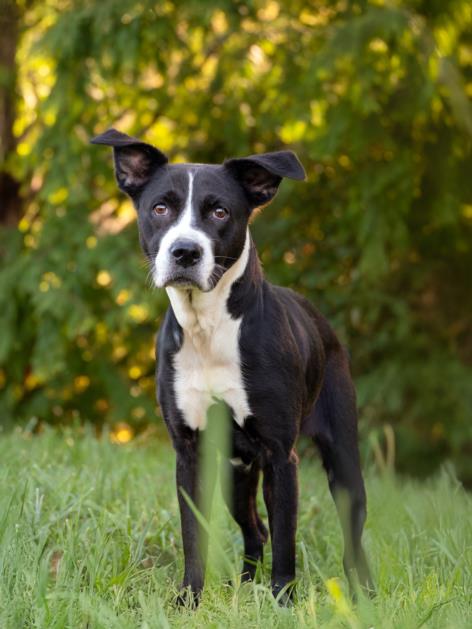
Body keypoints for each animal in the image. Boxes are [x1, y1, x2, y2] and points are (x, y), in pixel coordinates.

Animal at [91, 127, 372, 604]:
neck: (209, 327)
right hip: (235, 473)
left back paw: (363, 593)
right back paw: (243, 584)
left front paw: (283, 602)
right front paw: (189, 599)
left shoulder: (280, 455)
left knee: (350, 530)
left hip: (342, 455)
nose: (185, 251)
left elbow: (286, 538)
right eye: (160, 208)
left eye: (219, 211)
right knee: (255, 529)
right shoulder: (189, 453)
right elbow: (194, 535)